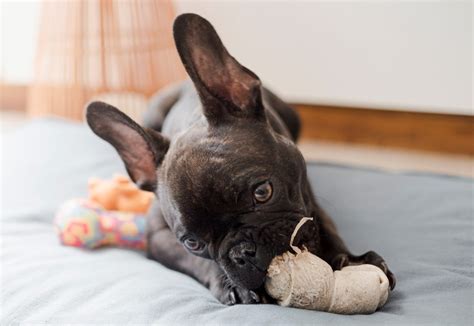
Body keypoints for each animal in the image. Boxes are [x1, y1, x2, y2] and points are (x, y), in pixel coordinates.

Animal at [86, 13, 396, 306]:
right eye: (193, 242)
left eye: (263, 192)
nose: (243, 253)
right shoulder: (159, 237)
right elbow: (199, 263)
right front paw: (231, 286)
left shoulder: (309, 198)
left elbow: (327, 226)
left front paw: (350, 259)